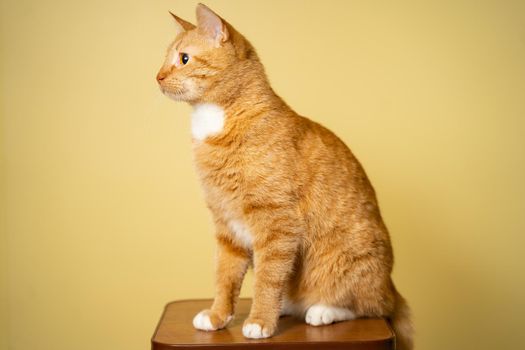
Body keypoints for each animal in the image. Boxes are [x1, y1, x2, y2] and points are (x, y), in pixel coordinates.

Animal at [156, 3, 414, 350]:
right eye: (165, 59)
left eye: (183, 59)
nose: (157, 76)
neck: (215, 122)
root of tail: (391, 287)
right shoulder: (226, 226)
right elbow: (225, 277)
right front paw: (217, 316)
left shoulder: (276, 224)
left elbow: (267, 279)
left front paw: (260, 321)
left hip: (349, 265)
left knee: (369, 307)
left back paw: (322, 310)